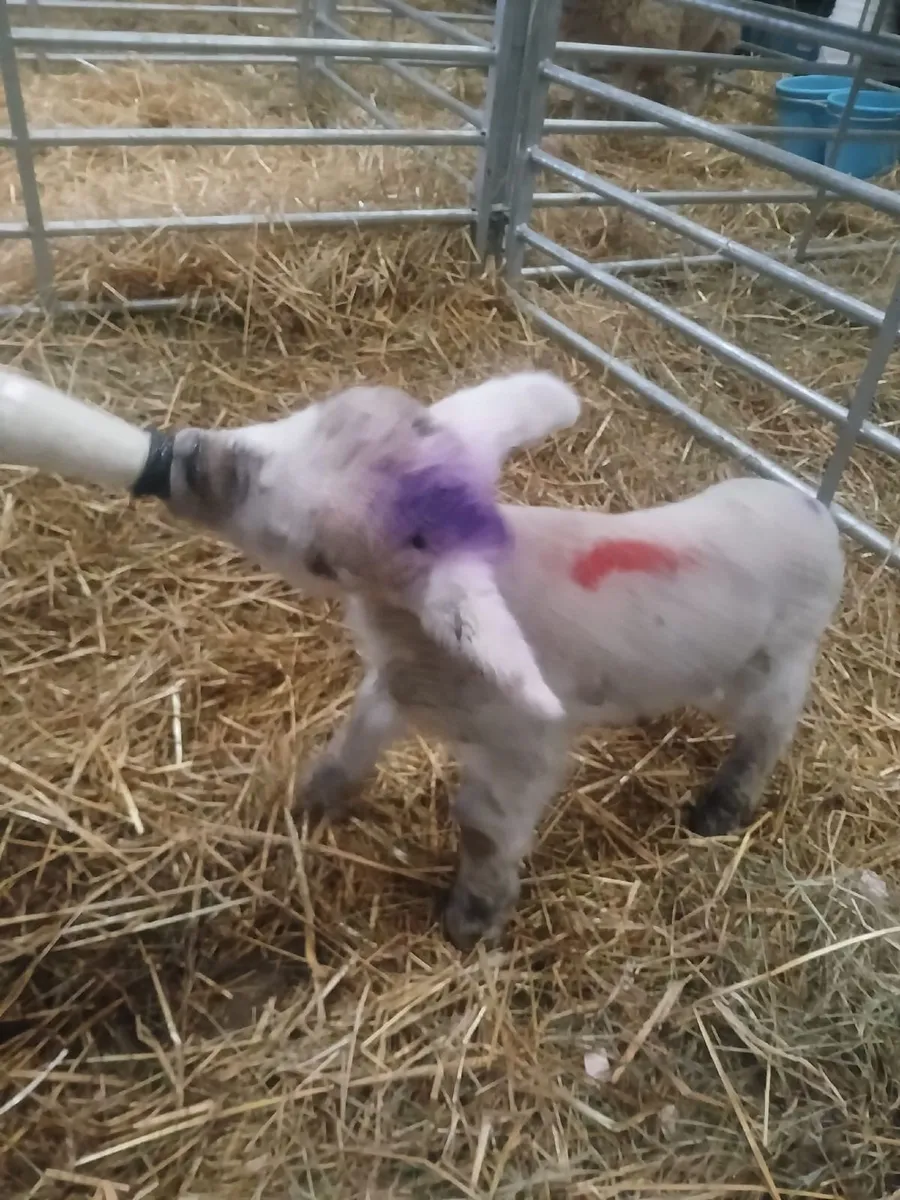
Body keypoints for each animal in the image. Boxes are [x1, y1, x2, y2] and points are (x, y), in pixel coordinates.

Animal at [160, 371, 844, 950]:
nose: (192, 460)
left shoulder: (525, 744)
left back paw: (722, 807)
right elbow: (354, 740)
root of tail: (817, 515)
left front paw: (472, 923)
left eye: (322, 559)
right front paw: (313, 801)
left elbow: (485, 827)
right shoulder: (397, 685)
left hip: (778, 659)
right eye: (307, 415)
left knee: (770, 729)